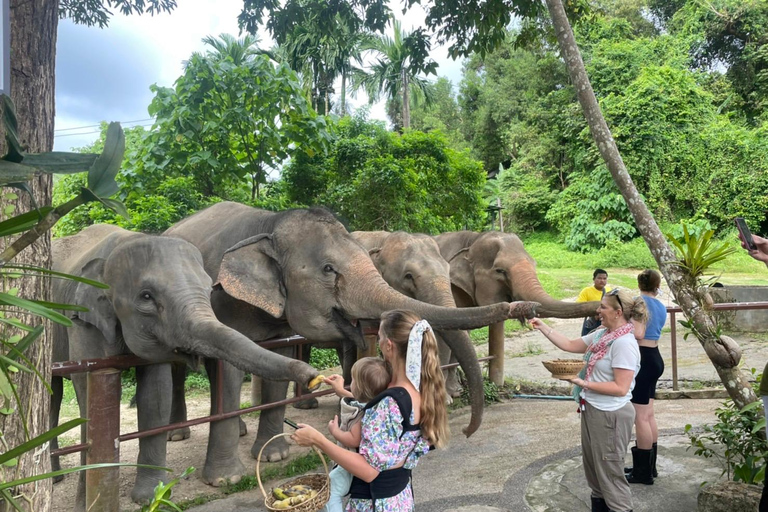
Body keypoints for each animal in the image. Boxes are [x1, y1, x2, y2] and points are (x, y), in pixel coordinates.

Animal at [48, 226, 318, 506]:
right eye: (146, 296)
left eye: (209, 290)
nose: (314, 377)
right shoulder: (81, 322)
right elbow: (87, 396)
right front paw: (86, 504)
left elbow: (155, 395)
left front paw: (154, 497)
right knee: (52, 395)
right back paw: (55, 478)